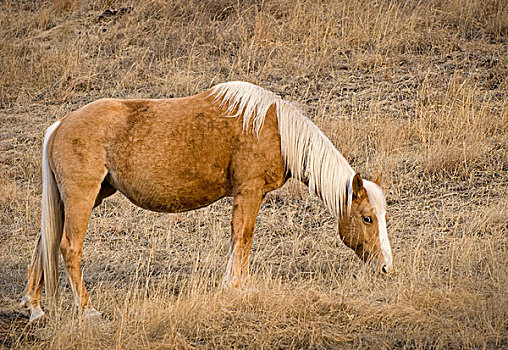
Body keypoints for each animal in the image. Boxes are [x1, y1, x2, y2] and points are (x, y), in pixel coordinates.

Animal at [19, 80, 392, 322]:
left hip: (85, 197)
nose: (386, 267)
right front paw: (236, 288)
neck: (273, 128)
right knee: (69, 248)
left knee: (44, 241)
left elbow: (238, 240)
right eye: (367, 218)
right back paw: (87, 311)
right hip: (81, 198)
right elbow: (242, 238)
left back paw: (35, 308)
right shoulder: (249, 192)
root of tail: (60, 125)